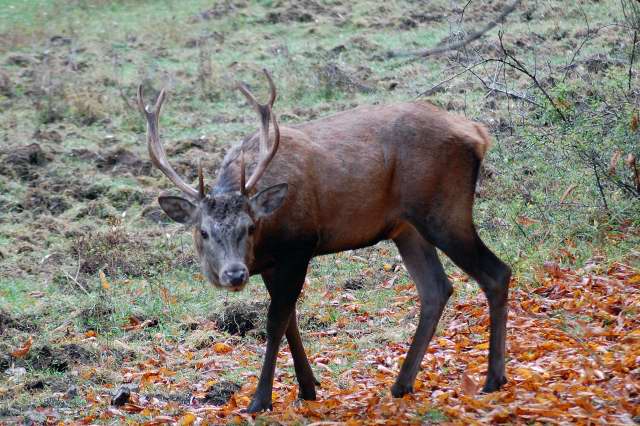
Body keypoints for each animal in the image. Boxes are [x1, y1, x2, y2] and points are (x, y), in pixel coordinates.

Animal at [138, 70, 512, 412]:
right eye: (203, 231)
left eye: (250, 226)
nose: (234, 274)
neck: (267, 239)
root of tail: (479, 134)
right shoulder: (272, 264)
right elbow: (290, 320)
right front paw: (308, 387)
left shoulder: (299, 247)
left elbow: (275, 321)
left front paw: (261, 400)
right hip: (407, 229)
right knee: (436, 288)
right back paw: (402, 384)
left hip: (444, 211)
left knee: (496, 273)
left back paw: (493, 379)